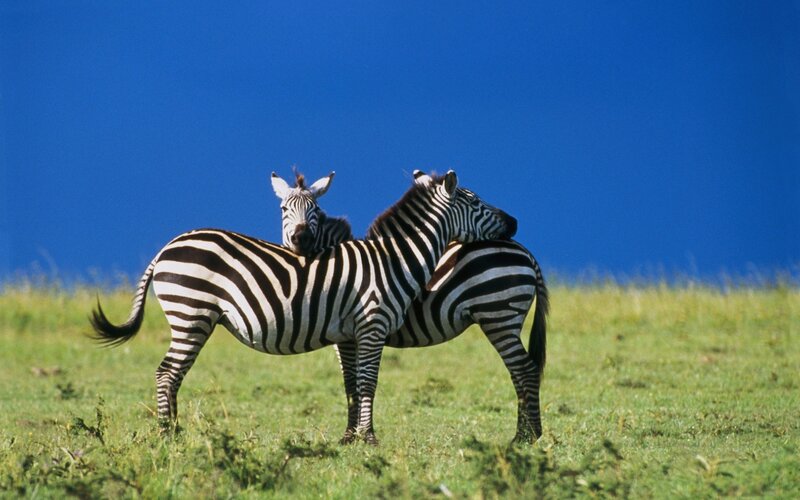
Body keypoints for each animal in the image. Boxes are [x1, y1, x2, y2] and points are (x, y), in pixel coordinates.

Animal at [90, 170, 516, 445]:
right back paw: (167, 435)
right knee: (166, 372)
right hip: (191, 313)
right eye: (476, 201)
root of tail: (167, 246)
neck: (391, 260)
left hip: (194, 318)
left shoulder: (350, 331)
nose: (514, 223)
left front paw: (353, 438)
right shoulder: (372, 324)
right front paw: (369, 438)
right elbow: (368, 382)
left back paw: (175, 431)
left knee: (173, 374)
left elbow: (353, 383)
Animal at [272, 170, 549, 443]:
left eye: (316, 210)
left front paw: (354, 435)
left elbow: (355, 381)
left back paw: (525, 437)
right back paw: (526, 433)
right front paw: (352, 434)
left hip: (499, 315)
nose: (301, 240)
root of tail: (525, 251)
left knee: (524, 369)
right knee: (520, 371)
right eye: (283, 209)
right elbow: (352, 381)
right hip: (504, 319)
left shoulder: (351, 334)